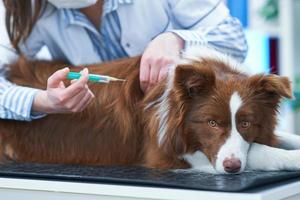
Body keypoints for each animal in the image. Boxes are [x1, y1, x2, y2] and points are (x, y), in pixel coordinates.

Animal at [1, 47, 300, 173]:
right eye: (212, 123)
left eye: (247, 123)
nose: (232, 168)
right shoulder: (164, 152)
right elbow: (259, 151)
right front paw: (291, 158)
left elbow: (275, 140)